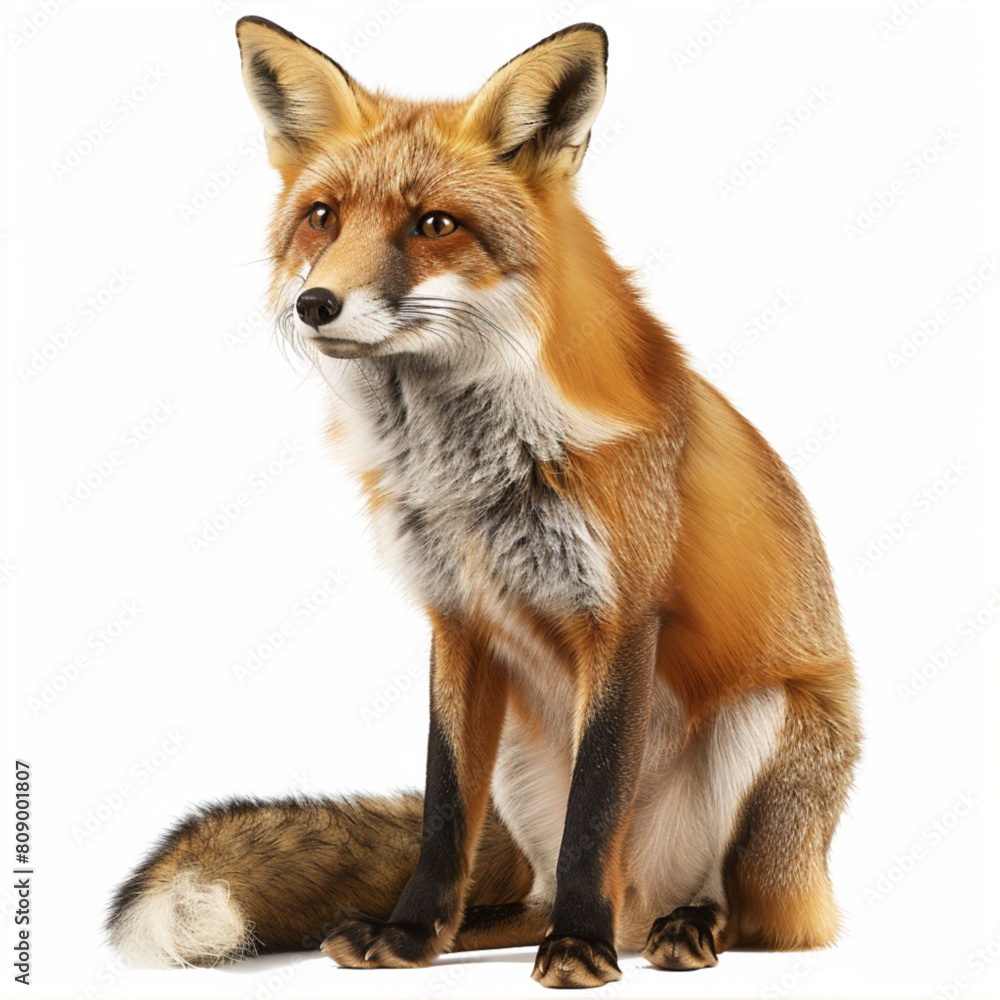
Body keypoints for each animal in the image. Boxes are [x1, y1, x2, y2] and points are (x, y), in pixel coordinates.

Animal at [107, 16, 861, 989]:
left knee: (755, 919)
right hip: (517, 762)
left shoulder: (620, 616)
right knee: (523, 891)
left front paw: (576, 950)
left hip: (762, 727)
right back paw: (472, 929)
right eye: (323, 216)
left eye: (434, 225)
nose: (315, 304)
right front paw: (409, 936)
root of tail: (644, 899)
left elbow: (592, 814)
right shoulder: (456, 618)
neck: (467, 475)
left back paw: (674, 929)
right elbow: (441, 816)